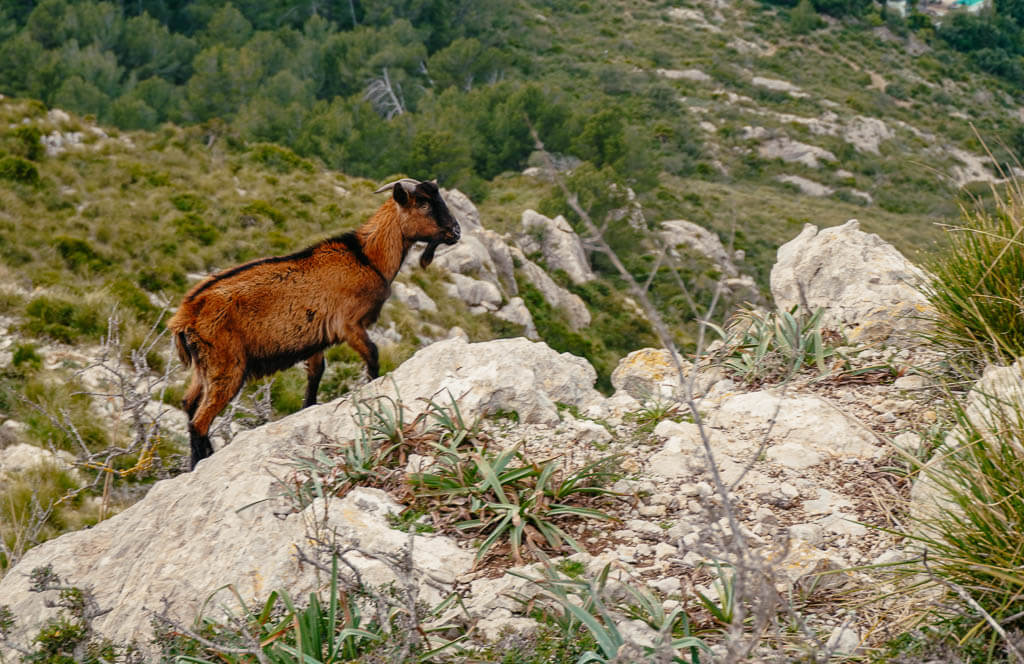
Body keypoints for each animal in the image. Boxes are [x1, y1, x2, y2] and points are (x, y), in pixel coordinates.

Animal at [168, 178, 460, 469]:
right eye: (423, 202)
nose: (456, 231)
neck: (366, 257)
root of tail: (186, 315)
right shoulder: (349, 324)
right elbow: (373, 356)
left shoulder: (317, 338)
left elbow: (315, 375)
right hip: (227, 366)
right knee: (199, 421)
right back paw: (200, 463)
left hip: (204, 367)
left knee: (188, 403)